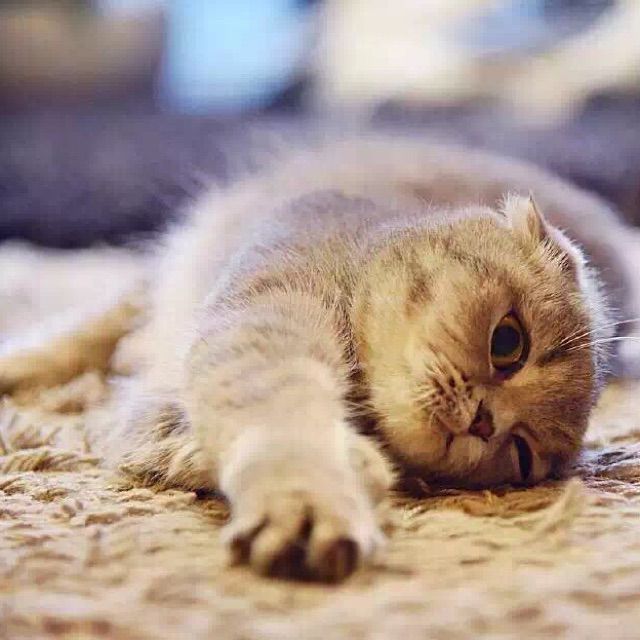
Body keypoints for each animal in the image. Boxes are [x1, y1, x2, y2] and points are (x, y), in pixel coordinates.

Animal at [1, 136, 639, 582]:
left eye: (523, 453)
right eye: (509, 343)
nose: (486, 423)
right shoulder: (260, 332)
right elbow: (285, 431)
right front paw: (315, 496)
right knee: (96, 327)